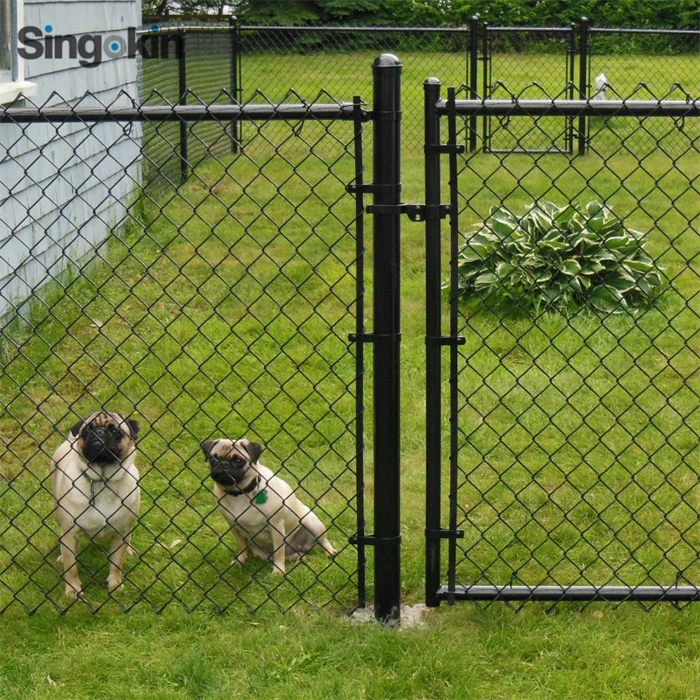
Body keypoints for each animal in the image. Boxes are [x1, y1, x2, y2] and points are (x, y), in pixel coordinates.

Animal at [50, 412, 141, 600]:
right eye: (87, 430)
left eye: (115, 430)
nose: (99, 432)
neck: (102, 480)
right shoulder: (70, 533)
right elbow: (71, 567)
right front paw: (73, 590)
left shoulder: (121, 533)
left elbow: (116, 563)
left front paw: (115, 584)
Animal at [201, 438, 338, 576]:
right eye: (213, 459)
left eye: (238, 460)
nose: (223, 464)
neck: (239, 492)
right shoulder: (233, 526)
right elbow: (242, 546)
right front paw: (241, 560)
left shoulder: (276, 526)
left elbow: (278, 552)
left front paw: (278, 571)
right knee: (295, 555)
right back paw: (298, 557)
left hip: (313, 523)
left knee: (323, 541)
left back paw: (330, 552)